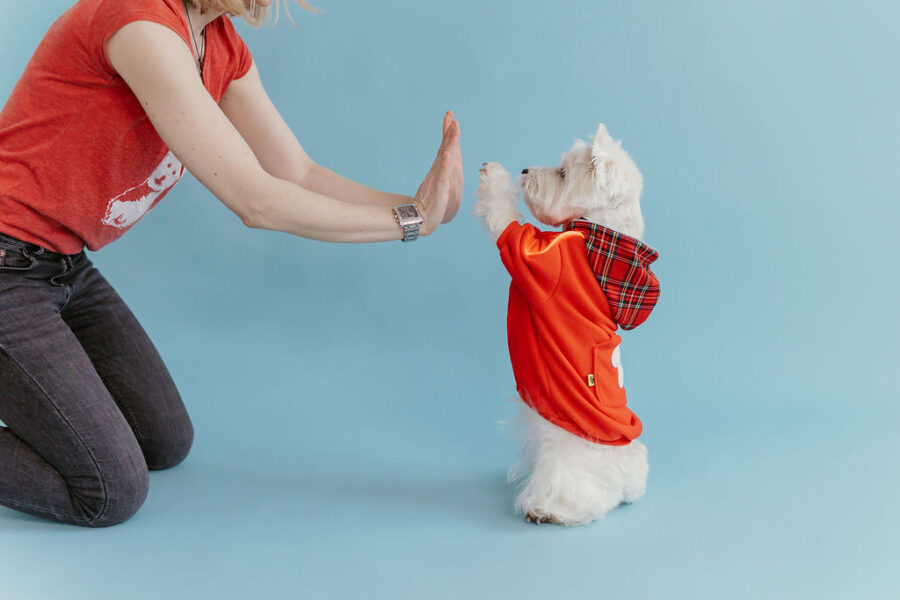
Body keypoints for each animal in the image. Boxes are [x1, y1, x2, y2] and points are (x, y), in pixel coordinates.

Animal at [472, 123, 660, 524]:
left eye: (562, 173)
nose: (524, 169)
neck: (600, 240)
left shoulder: (542, 262)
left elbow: (508, 226)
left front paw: (493, 177)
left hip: (569, 450)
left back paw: (548, 509)